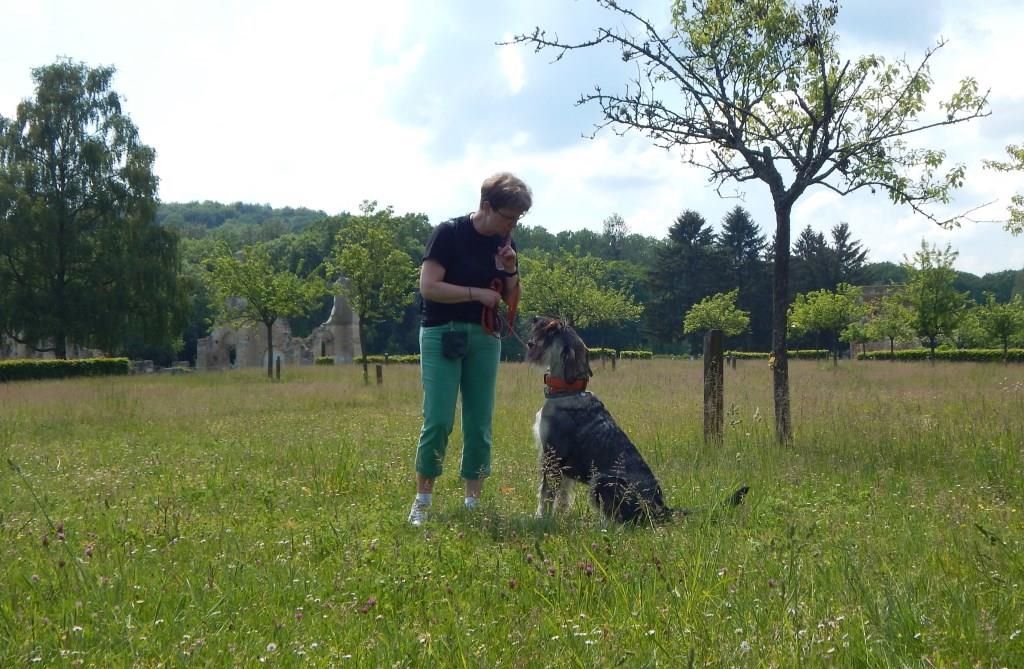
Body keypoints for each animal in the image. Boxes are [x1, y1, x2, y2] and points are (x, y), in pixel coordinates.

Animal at [526, 316, 748, 524]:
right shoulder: (561, 466)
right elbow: (562, 497)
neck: (567, 390)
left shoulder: (552, 456)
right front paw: (558, 516)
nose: (534, 318)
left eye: (552, 328)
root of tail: (661, 507)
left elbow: (546, 494)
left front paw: (541, 518)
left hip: (602, 481)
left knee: (621, 519)